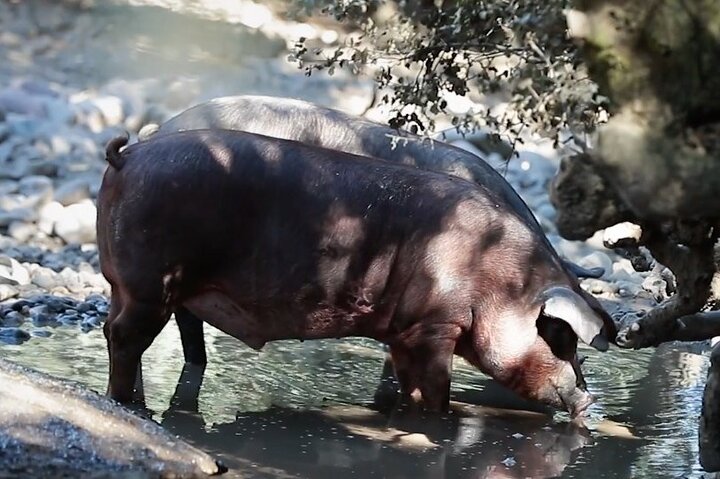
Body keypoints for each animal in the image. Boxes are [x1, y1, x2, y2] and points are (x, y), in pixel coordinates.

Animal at [98, 130, 616, 417]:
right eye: (561, 338)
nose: (591, 400)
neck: (500, 280)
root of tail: (128, 156)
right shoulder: (436, 325)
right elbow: (437, 388)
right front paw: (441, 421)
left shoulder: (406, 330)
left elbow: (410, 386)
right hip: (152, 285)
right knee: (124, 336)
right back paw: (126, 404)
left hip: (122, 284)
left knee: (113, 329)